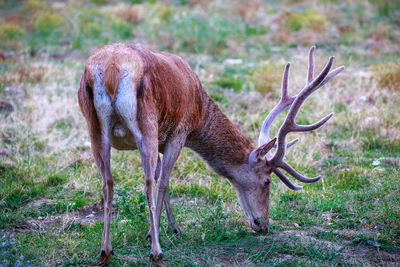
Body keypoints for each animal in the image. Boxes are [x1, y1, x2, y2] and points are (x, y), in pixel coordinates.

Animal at [77, 44, 344, 264]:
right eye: (267, 181)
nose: (264, 225)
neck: (200, 112)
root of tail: (111, 69)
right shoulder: (178, 132)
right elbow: (164, 181)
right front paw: (156, 234)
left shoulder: (166, 139)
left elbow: (163, 180)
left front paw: (170, 228)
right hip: (146, 124)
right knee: (149, 183)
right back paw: (156, 252)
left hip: (94, 128)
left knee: (108, 182)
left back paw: (105, 251)